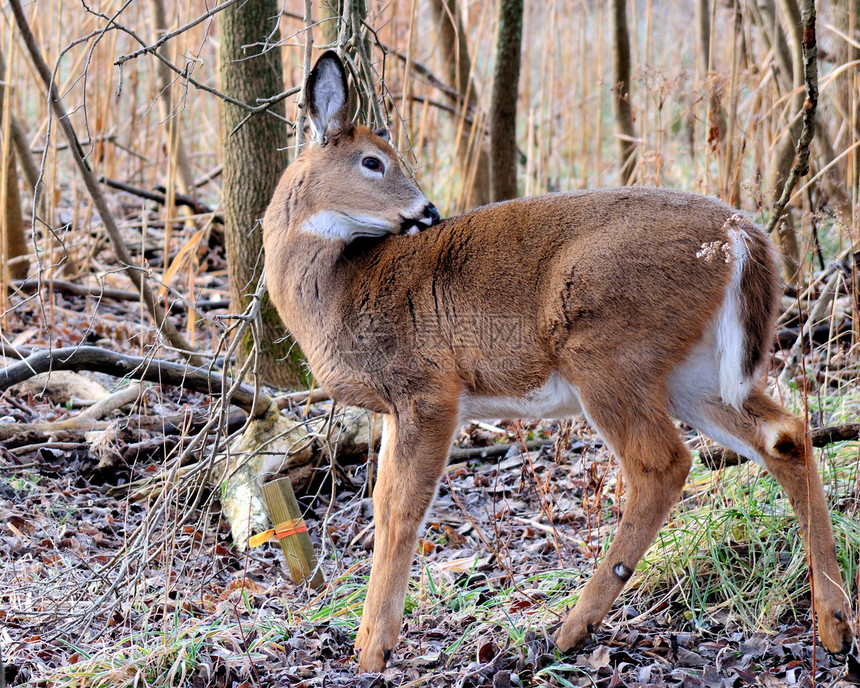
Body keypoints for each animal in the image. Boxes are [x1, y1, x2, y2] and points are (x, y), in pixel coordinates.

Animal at [262, 52, 852, 672]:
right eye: (372, 161)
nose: (429, 210)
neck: (335, 294)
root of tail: (740, 234)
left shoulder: (427, 387)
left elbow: (400, 508)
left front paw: (373, 647)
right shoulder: (400, 406)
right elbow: (383, 503)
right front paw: (370, 638)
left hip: (605, 347)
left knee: (662, 463)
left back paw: (569, 628)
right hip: (693, 371)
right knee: (785, 434)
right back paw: (834, 622)